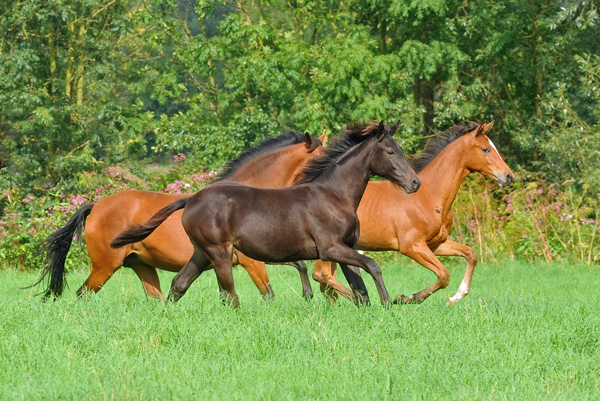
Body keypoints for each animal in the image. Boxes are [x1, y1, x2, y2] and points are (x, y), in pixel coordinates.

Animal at [35, 130, 326, 298]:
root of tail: (96, 206)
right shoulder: (252, 261)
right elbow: (269, 293)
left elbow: (299, 264)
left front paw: (309, 294)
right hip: (104, 267)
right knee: (82, 293)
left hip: (141, 265)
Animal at [112, 120, 422, 304]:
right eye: (391, 152)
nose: (415, 183)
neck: (333, 195)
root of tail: (191, 199)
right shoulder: (330, 248)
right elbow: (373, 266)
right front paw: (388, 303)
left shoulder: (344, 248)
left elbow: (359, 287)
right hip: (219, 253)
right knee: (229, 294)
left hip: (201, 252)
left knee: (179, 283)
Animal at [312, 121, 512, 304]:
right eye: (486, 149)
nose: (509, 176)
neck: (429, 196)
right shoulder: (412, 246)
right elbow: (444, 274)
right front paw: (406, 298)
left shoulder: (435, 244)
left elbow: (471, 254)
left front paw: (456, 297)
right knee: (321, 275)